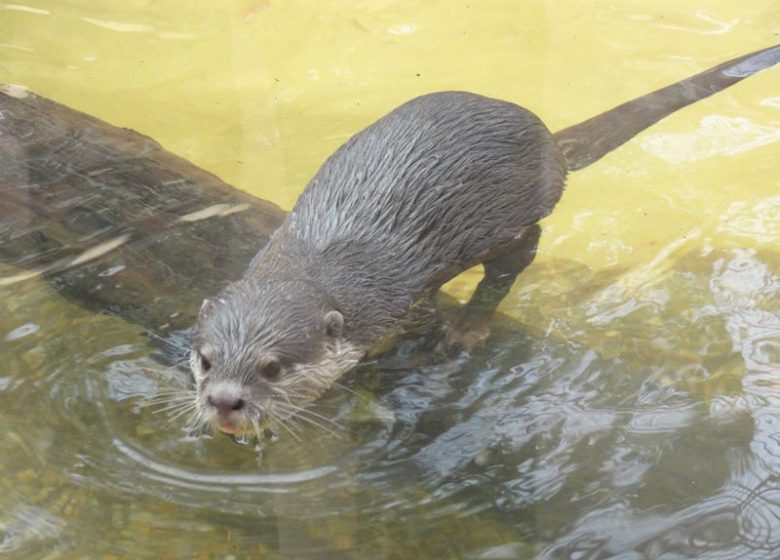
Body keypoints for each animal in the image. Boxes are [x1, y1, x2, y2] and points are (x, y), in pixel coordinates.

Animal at [190, 43, 780, 438]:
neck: (317, 265)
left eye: (272, 367)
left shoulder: (403, 303)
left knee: (515, 262)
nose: (224, 402)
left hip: (514, 220)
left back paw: (470, 329)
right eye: (205, 360)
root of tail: (549, 144)